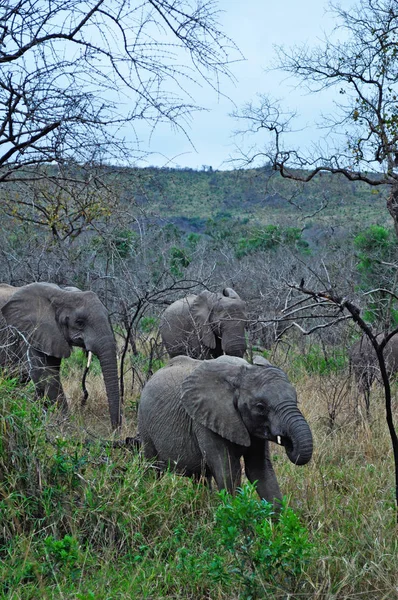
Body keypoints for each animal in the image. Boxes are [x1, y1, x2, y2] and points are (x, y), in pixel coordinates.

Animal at [0, 282, 121, 428]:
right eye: (79, 322)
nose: (115, 430)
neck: (62, 294)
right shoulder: (30, 332)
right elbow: (46, 376)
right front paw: (67, 427)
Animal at [138, 354, 312, 504]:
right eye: (260, 407)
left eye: (296, 400)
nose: (288, 442)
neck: (241, 372)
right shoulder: (205, 421)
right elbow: (228, 472)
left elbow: (260, 469)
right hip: (144, 423)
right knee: (151, 466)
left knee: (200, 477)